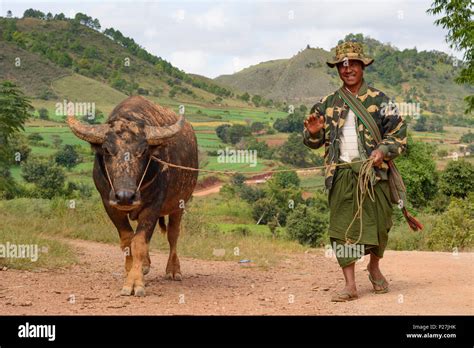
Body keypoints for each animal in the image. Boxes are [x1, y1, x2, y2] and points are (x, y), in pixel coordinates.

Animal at [67, 96, 197, 296]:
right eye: (107, 149)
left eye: (143, 151)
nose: (125, 196)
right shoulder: (109, 203)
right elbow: (128, 240)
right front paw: (131, 271)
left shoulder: (154, 205)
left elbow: (140, 242)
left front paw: (135, 282)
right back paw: (145, 265)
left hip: (180, 204)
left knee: (173, 235)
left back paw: (173, 270)